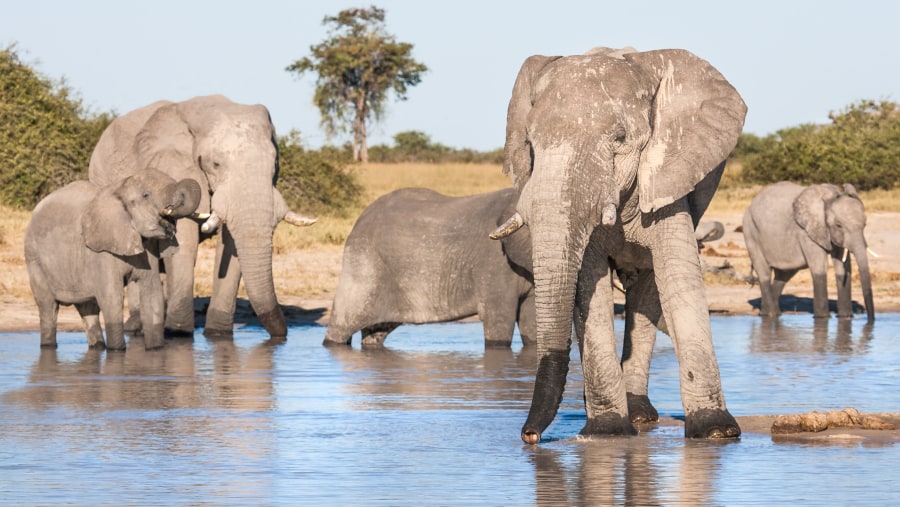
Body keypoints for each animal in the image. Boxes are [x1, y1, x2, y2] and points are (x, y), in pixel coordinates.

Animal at [24, 169, 200, 352]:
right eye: (146, 195)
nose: (171, 210)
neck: (120, 189)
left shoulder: (148, 247)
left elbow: (152, 294)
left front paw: (155, 350)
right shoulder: (100, 252)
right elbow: (111, 297)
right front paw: (117, 351)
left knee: (88, 308)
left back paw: (98, 346)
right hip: (34, 259)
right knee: (48, 306)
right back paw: (48, 345)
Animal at [88, 95, 312, 342]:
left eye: (274, 164)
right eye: (215, 164)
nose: (282, 337)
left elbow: (231, 246)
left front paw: (217, 335)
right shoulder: (174, 167)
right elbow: (185, 242)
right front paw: (178, 334)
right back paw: (136, 328)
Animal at [324, 187, 536, 350]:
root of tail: (360, 219)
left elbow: (530, 323)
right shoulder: (493, 263)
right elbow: (499, 322)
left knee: (375, 332)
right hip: (363, 266)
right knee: (342, 326)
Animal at [488, 47, 748, 444]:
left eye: (620, 138)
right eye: (530, 145)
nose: (529, 436)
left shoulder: (667, 176)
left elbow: (678, 278)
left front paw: (716, 431)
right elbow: (588, 288)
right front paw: (607, 432)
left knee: (647, 289)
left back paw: (641, 414)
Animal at [740, 182, 876, 322]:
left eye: (865, 224)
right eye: (838, 225)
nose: (871, 319)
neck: (830, 197)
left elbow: (843, 268)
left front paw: (845, 317)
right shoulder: (806, 232)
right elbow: (819, 268)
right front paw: (822, 318)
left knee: (783, 275)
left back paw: (769, 313)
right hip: (750, 231)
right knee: (764, 273)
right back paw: (770, 315)